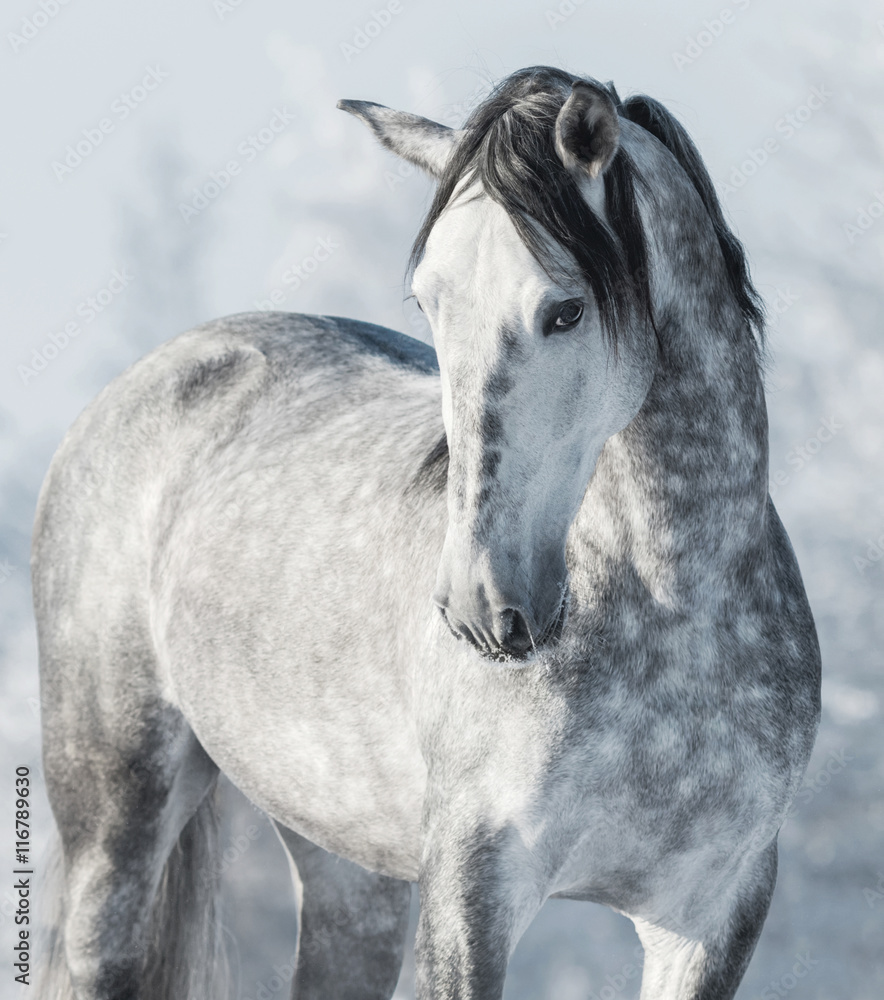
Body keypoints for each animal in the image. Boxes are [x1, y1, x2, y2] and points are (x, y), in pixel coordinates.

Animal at [34, 68, 820, 1000]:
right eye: (429, 303)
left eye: (566, 310)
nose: (483, 604)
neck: (675, 618)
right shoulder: (472, 889)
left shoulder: (711, 913)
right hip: (114, 821)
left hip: (350, 873)